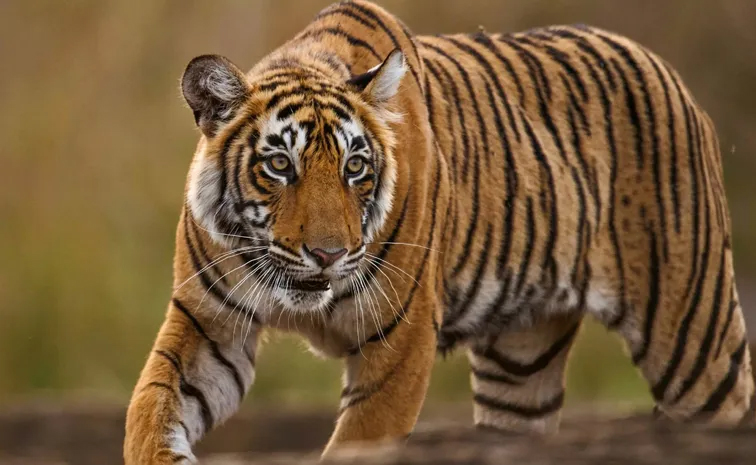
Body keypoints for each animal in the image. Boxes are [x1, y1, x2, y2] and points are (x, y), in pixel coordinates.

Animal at [124, 1, 755, 463]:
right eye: (280, 165)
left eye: (355, 167)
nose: (328, 255)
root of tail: (662, 67)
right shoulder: (208, 327)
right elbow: (149, 409)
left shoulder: (400, 344)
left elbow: (359, 441)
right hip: (520, 363)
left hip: (691, 336)